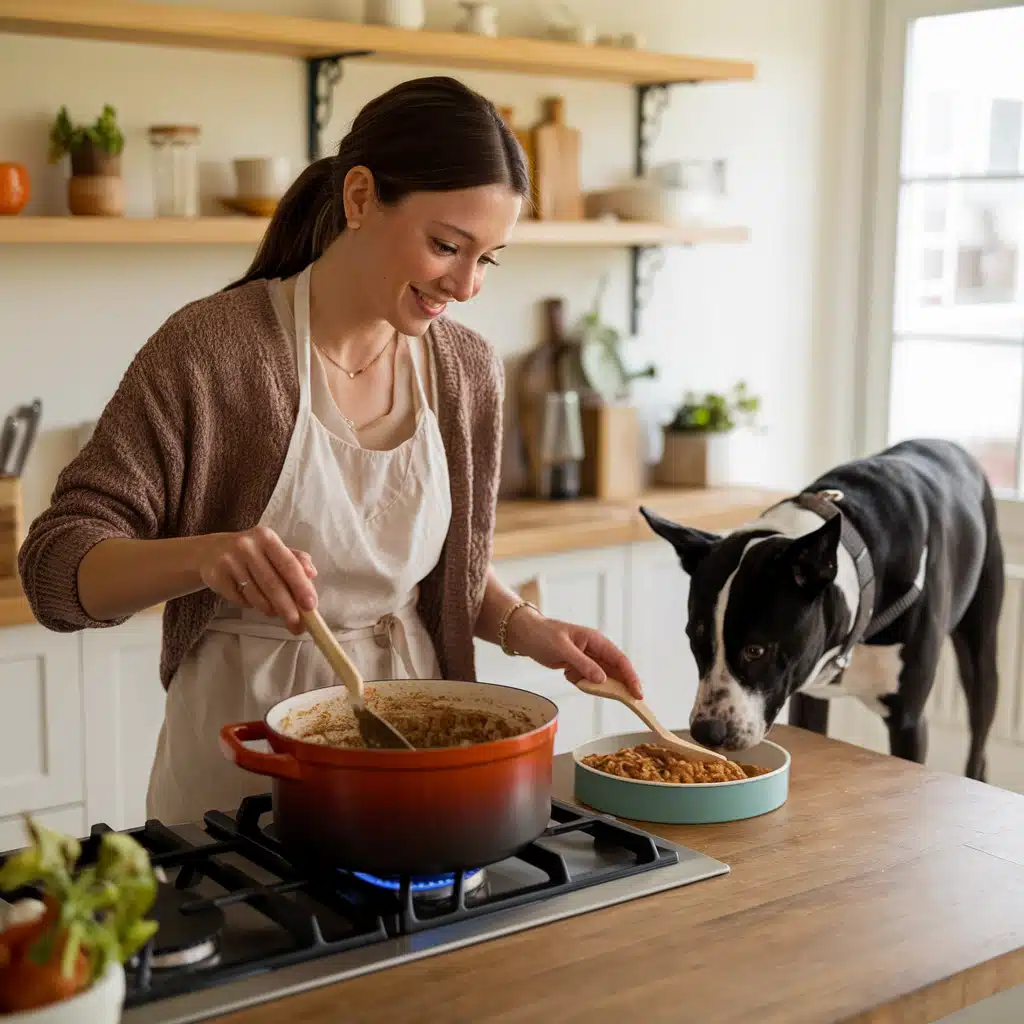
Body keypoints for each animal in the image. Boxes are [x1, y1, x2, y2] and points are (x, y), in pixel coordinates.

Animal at [643, 436, 1003, 778]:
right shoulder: (808, 698)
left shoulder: (908, 720)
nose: (707, 732)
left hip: (981, 656)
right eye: (695, 639)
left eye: (756, 651)